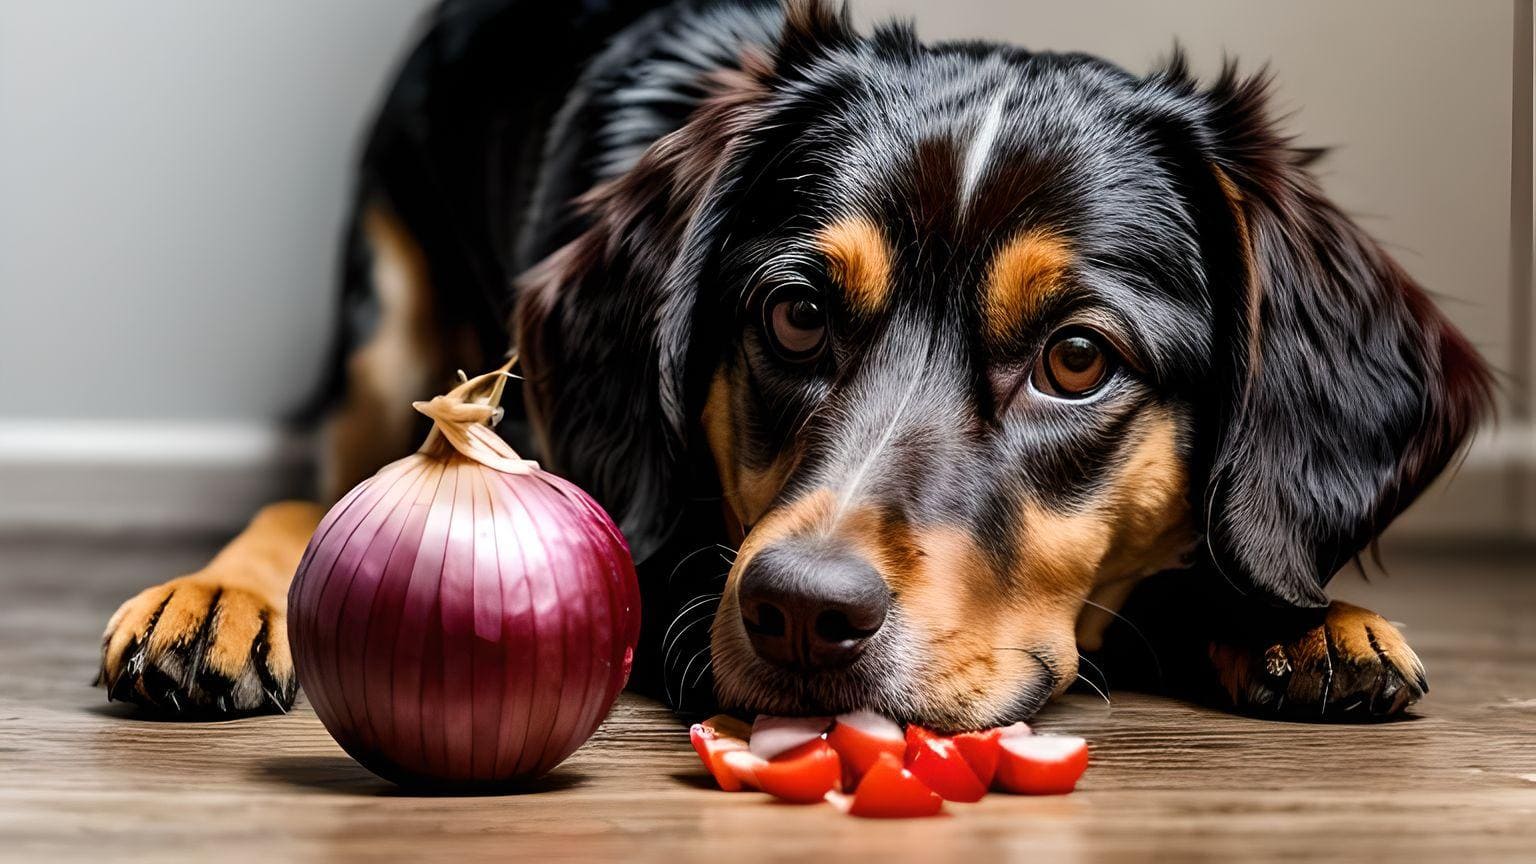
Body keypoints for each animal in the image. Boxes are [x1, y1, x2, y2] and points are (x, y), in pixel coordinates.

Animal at [96, 0, 1486, 725]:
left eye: (1078, 359)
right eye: (799, 316)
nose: (803, 613)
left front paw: (1298, 617)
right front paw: (228, 590)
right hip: (386, 328)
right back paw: (218, 593)